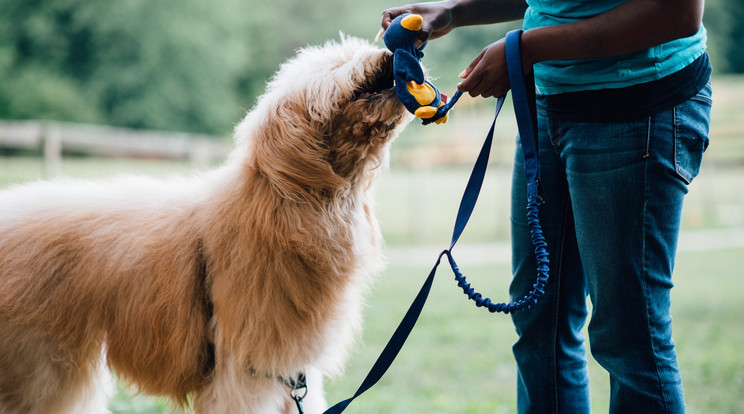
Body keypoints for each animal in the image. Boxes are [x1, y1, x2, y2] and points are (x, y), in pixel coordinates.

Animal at [0, 36, 410, 414]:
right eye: (337, 63)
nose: (389, 55)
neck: (291, 199)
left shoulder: (289, 371)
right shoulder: (245, 370)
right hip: (36, 367)